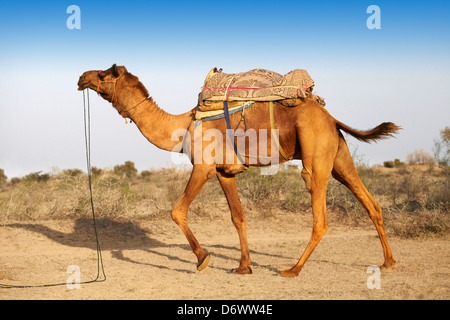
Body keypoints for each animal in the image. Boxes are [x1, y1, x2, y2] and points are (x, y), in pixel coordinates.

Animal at [76, 63, 398, 276]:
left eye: (103, 74)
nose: (81, 77)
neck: (182, 126)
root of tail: (330, 117)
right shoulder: (225, 172)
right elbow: (238, 217)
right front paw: (243, 266)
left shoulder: (203, 167)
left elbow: (177, 211)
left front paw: (202, 259)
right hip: (339, 157)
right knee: (371, 203)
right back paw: (388, 262)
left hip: (315, 158)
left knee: (320, 217)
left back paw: (293, 269)